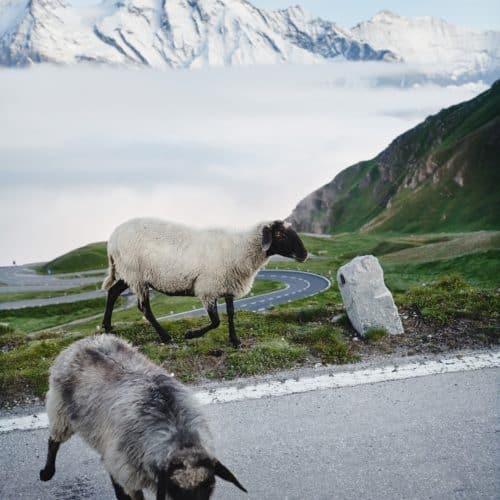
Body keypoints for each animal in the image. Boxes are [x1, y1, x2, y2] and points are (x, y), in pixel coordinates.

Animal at [40, 332, 247, 500]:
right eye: (174, 489)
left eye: (210, 485)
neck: (177, 433)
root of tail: (81, 342)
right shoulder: (131, 476)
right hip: (61, 413)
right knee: (53, 440)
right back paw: (47, 472)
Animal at [100, 217, 306, 346]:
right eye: (279, 235)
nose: (304, 254)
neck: (240, 249)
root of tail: (112, 238)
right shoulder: (208, 288)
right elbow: (216, 321)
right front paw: (190, 334)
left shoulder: (228, 284)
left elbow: (231, 313)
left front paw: (235, 341)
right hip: (136, 275)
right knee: (144, 308)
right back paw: (166, 337)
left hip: (130, 274)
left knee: (113, 292)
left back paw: (107, 326)